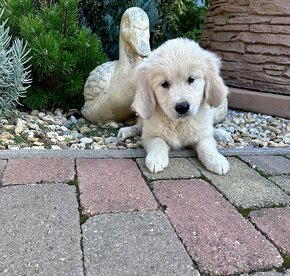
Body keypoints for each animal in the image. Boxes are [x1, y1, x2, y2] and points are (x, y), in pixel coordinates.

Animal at [119, 38, 230, 175]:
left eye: (191, 79)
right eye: (164, 84)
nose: (182, 107)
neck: (178, 123)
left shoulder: (202, 135)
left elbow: (206, 144)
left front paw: (216, 159)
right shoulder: (149, 135)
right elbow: (158, 141)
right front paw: (156, 159)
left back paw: (221, 133)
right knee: (139, 127)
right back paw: (126, 130)